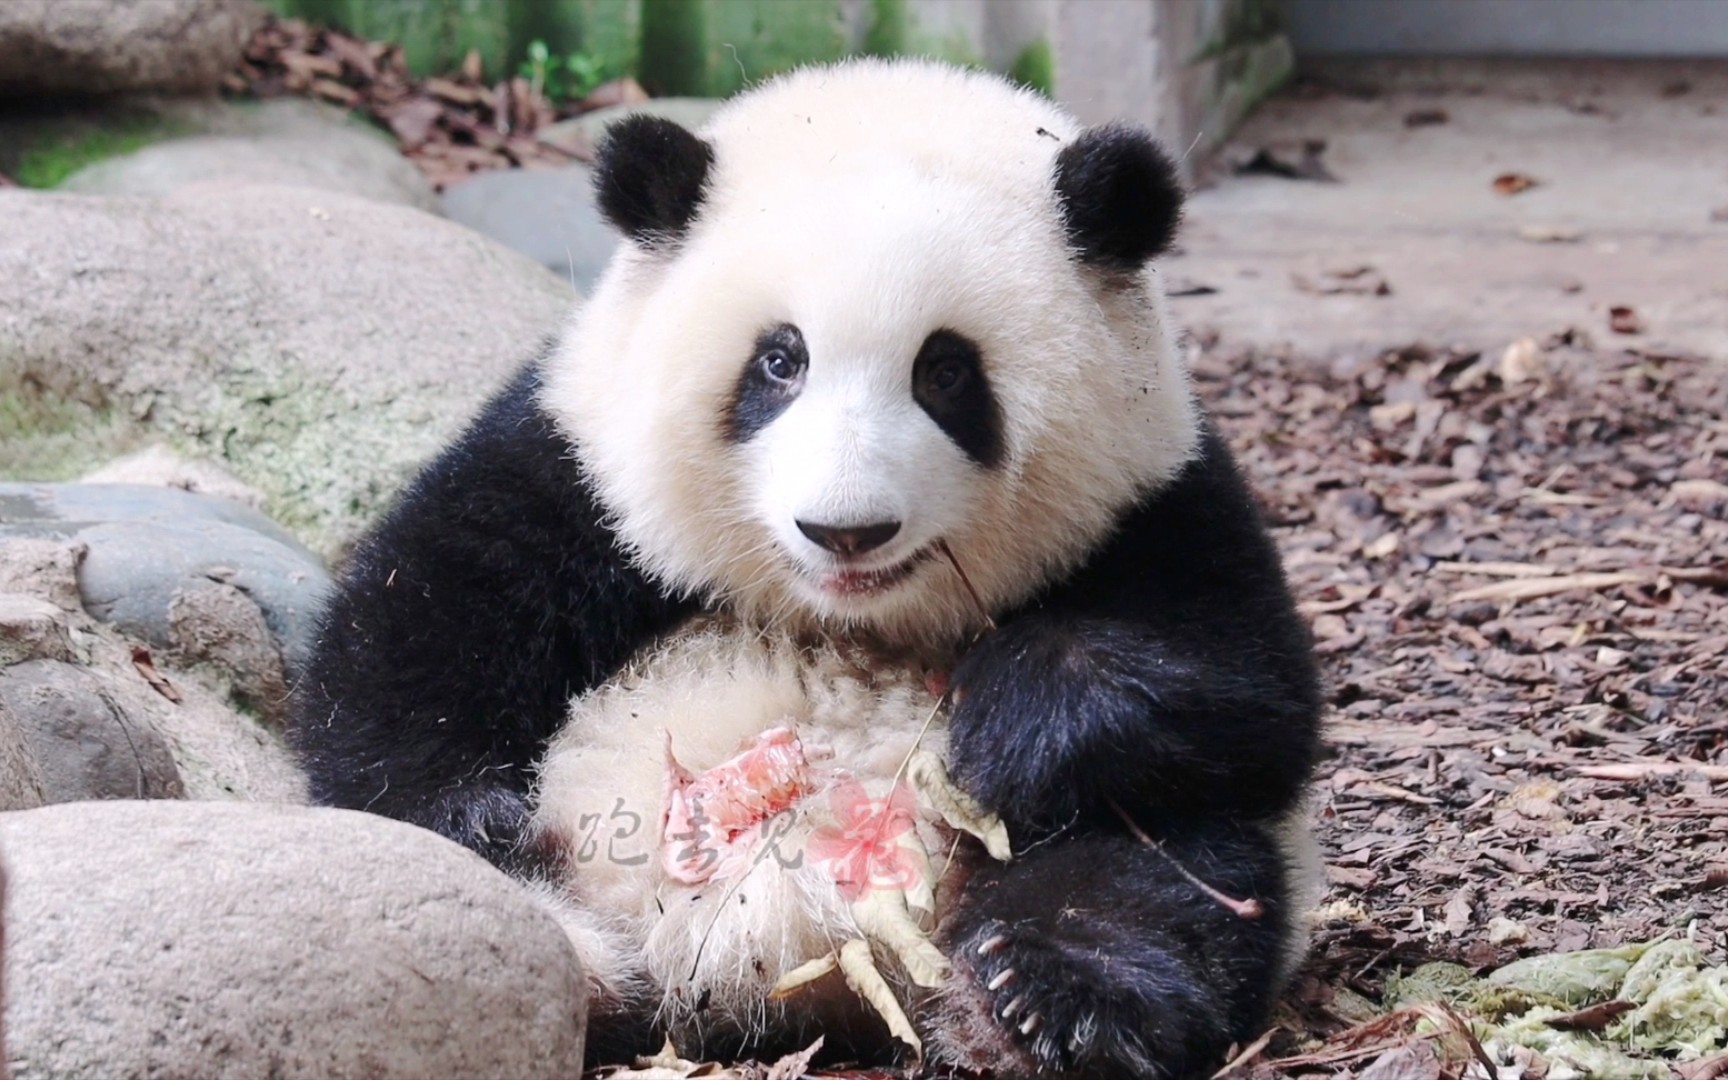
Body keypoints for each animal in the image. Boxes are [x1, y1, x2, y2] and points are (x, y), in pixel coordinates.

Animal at [290, 60, 1320, 1078]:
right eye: (780, 362)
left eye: (946, 373)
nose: (847, 531)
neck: (842, 612)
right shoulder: (582, 463)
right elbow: (418, 628)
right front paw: (478, 810)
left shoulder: (1154, 498)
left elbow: (1244, 689)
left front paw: (1015, 722)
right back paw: (579, 967)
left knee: (1165, 869)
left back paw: (1045, 1000)